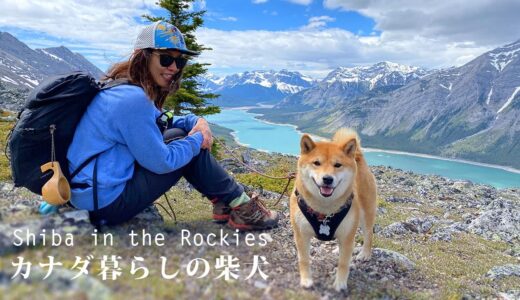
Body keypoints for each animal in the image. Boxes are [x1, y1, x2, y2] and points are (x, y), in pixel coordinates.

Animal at [288, 128, 378, 290]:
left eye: (338, 165)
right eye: (316, 163)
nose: (328, 179)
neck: (324, 209)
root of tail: (358, 156)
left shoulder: (347, 236)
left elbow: (343, 263)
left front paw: (340, 284)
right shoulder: (301, 235)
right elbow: (304, 259)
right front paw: (306, 280)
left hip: (366, 214)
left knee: (369, 234)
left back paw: (365, 254)